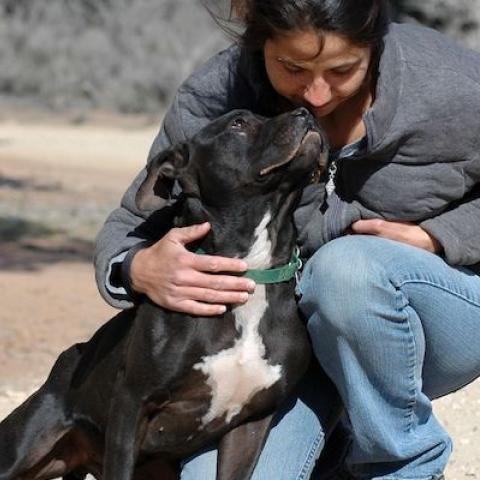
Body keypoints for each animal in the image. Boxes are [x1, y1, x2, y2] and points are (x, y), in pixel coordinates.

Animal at [0, 107, 326, 478]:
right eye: (238, 123)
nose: (306, 113)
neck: (251, 271)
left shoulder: (250, 426)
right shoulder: (131, 405)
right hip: (21, 450)